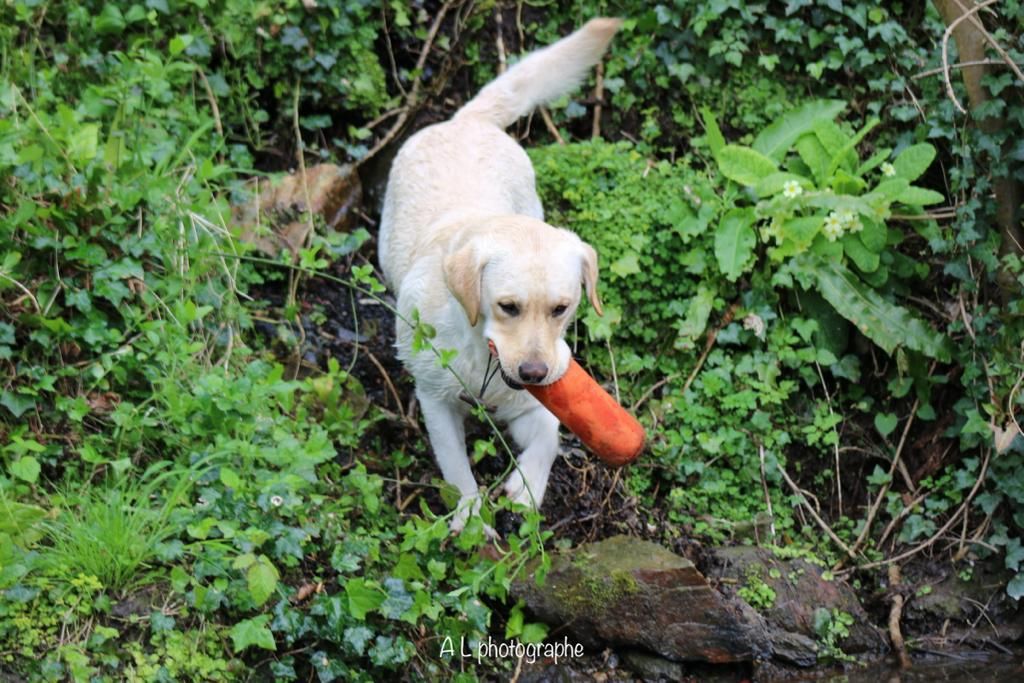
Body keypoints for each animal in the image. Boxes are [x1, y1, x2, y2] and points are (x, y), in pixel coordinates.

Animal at [376, 17, 614, 532]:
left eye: (561, 309)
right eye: (508, 307)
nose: (534, 371)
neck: (482, 362)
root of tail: (469, 121)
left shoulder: (531, 403)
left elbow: (551, 433)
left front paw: (527, 488)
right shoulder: (436, 402)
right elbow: (456, 468)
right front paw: (470, 519)